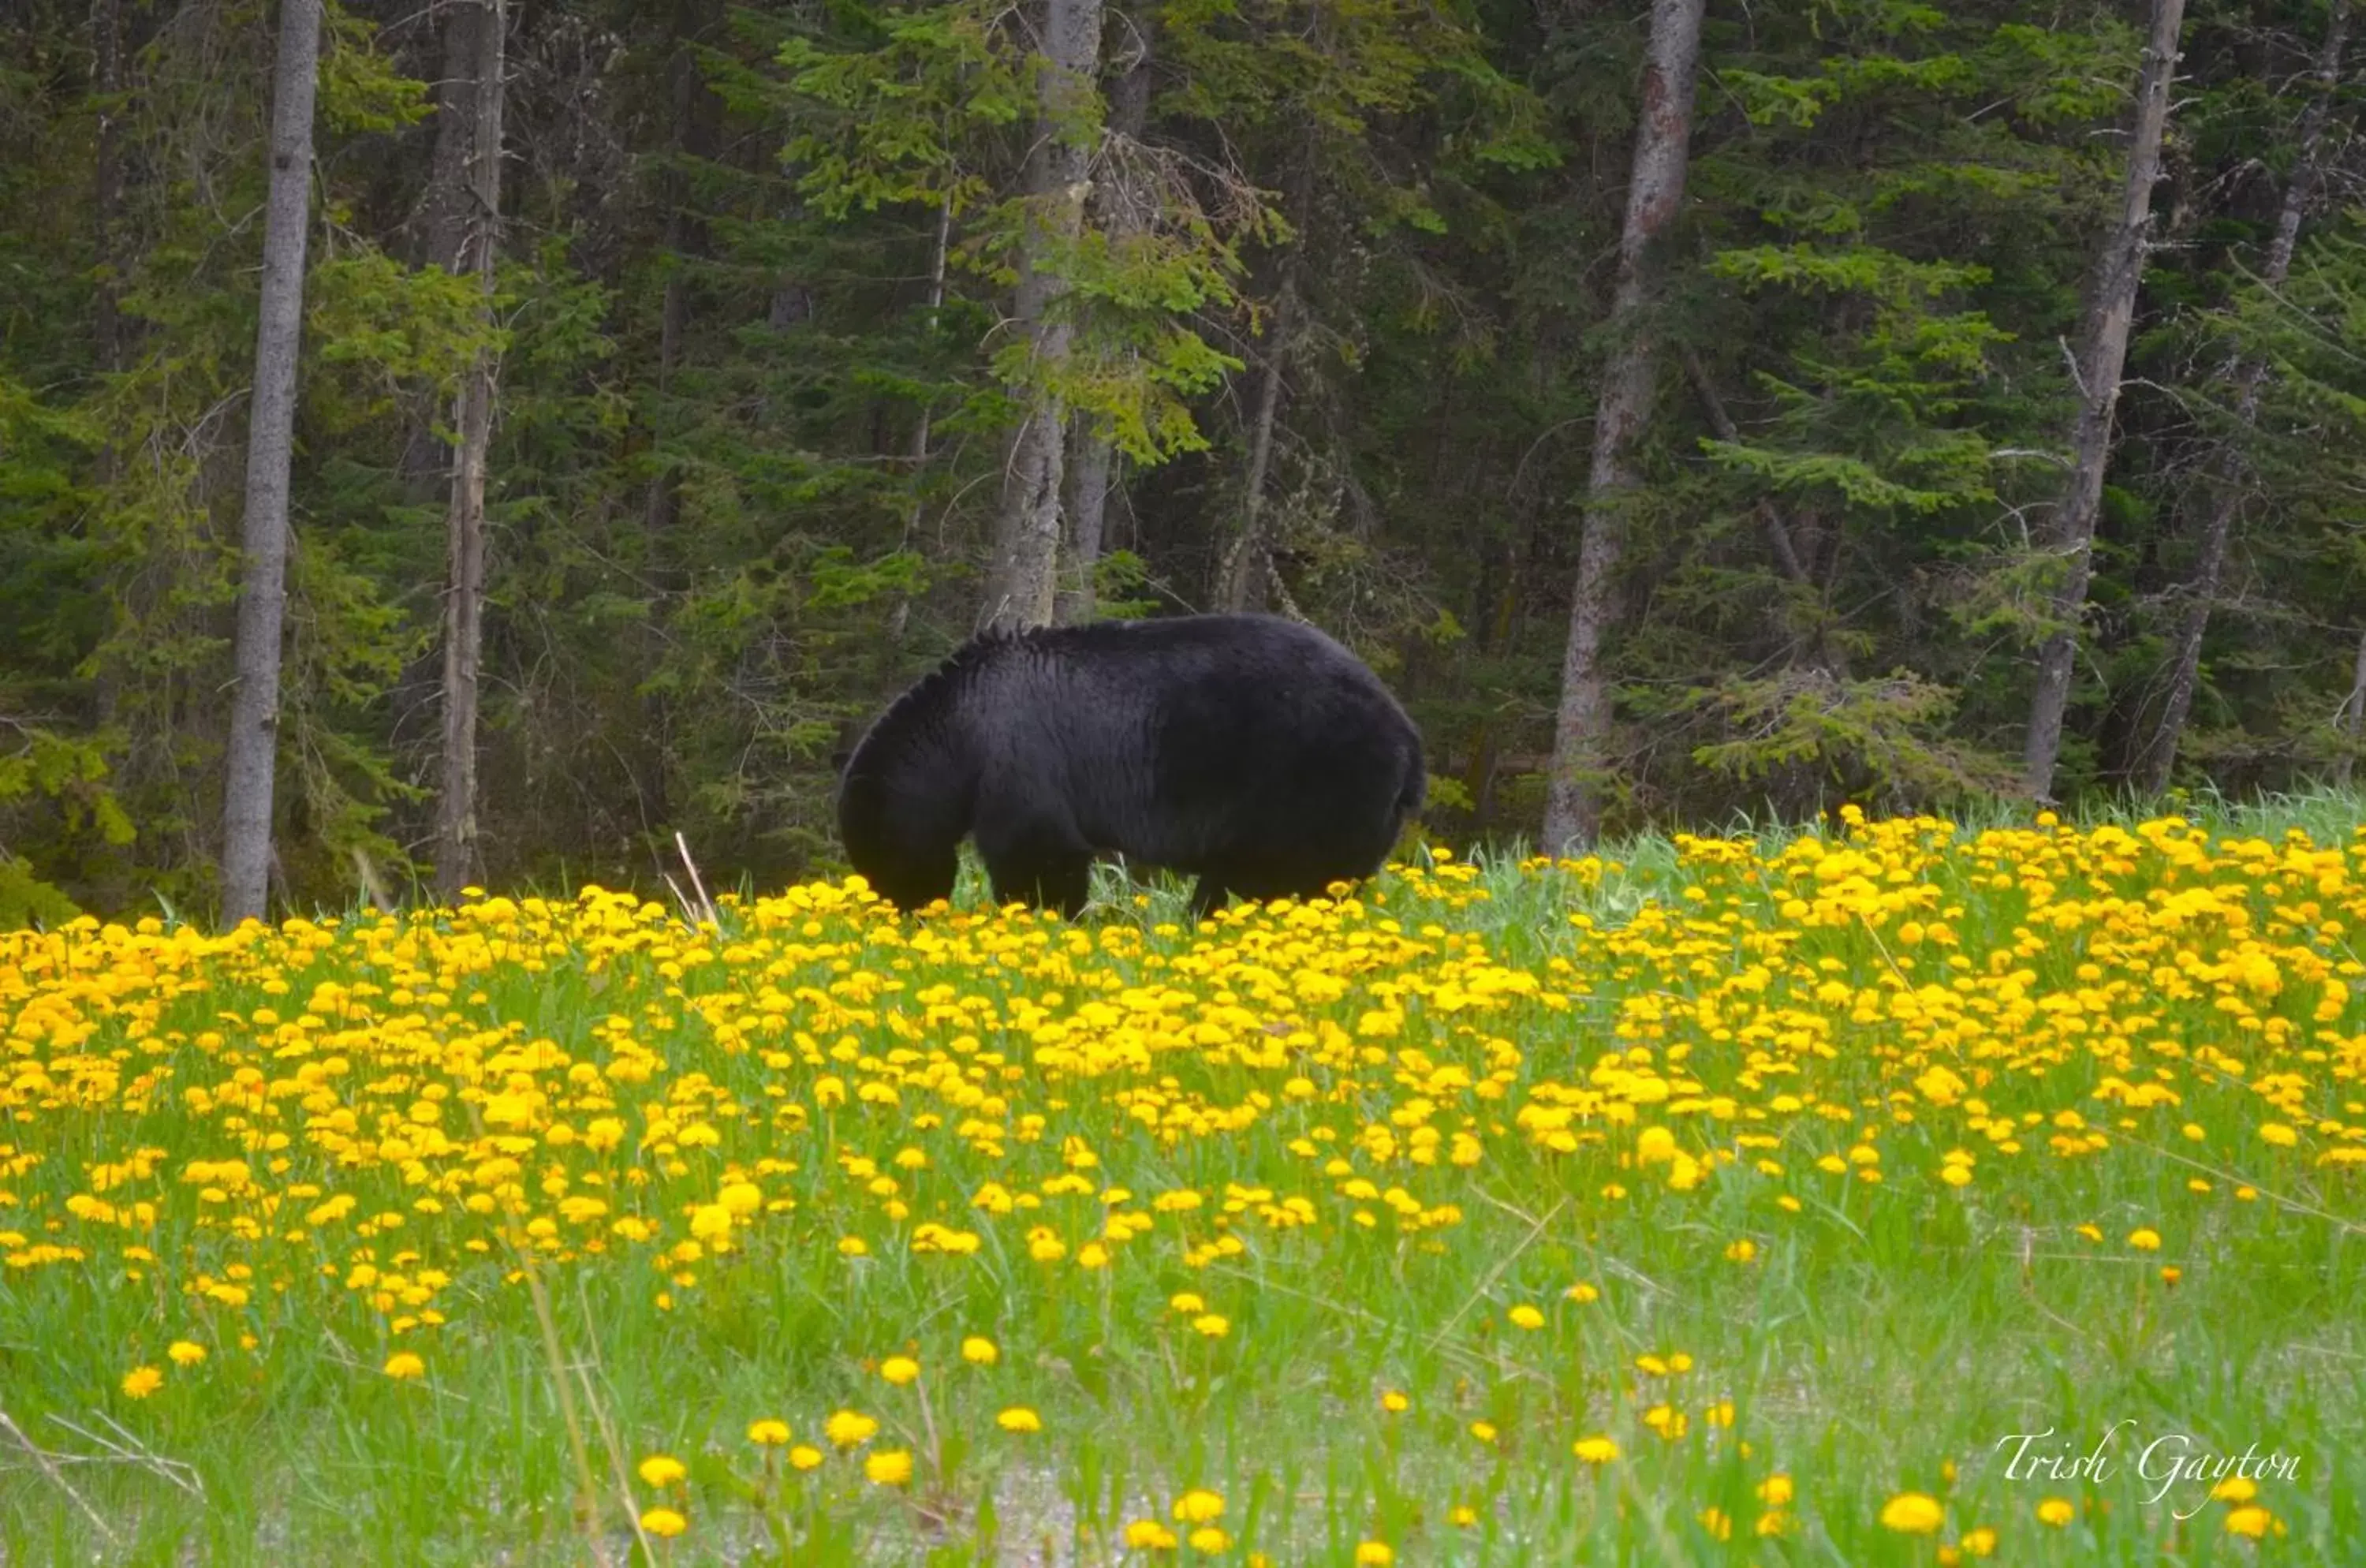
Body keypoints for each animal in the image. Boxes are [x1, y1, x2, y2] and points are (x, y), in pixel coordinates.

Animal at [838, 614, 1420, 922]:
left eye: (876, 858)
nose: (903, 911)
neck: (958, 734)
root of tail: (1409, 739)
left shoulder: (1018, 757)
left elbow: (1038, 850)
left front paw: (1042, 916)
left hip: (1311, 782)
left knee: (1288, 875)